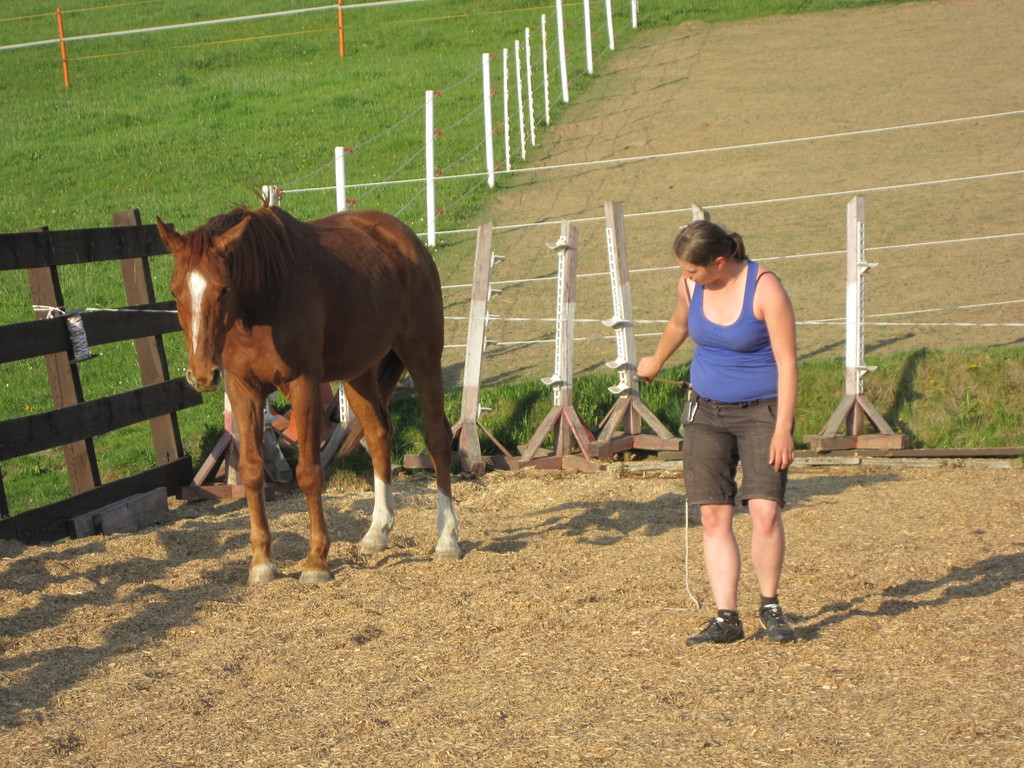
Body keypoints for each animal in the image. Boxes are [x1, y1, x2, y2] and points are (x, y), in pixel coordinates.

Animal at [156, 201, 460, 585]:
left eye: (223, 289)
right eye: (175, 291)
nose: (201, 375)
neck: (262, 302)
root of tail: (405, 238)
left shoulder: (304, 386)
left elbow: (309, 472)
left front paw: (316, 560)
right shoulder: (243, 390)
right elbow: (251, 471)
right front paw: (261, 562)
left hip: (423, 355)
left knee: (437, 439)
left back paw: (447, 539)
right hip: (359, 373)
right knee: (378, 437)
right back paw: (377, 532)